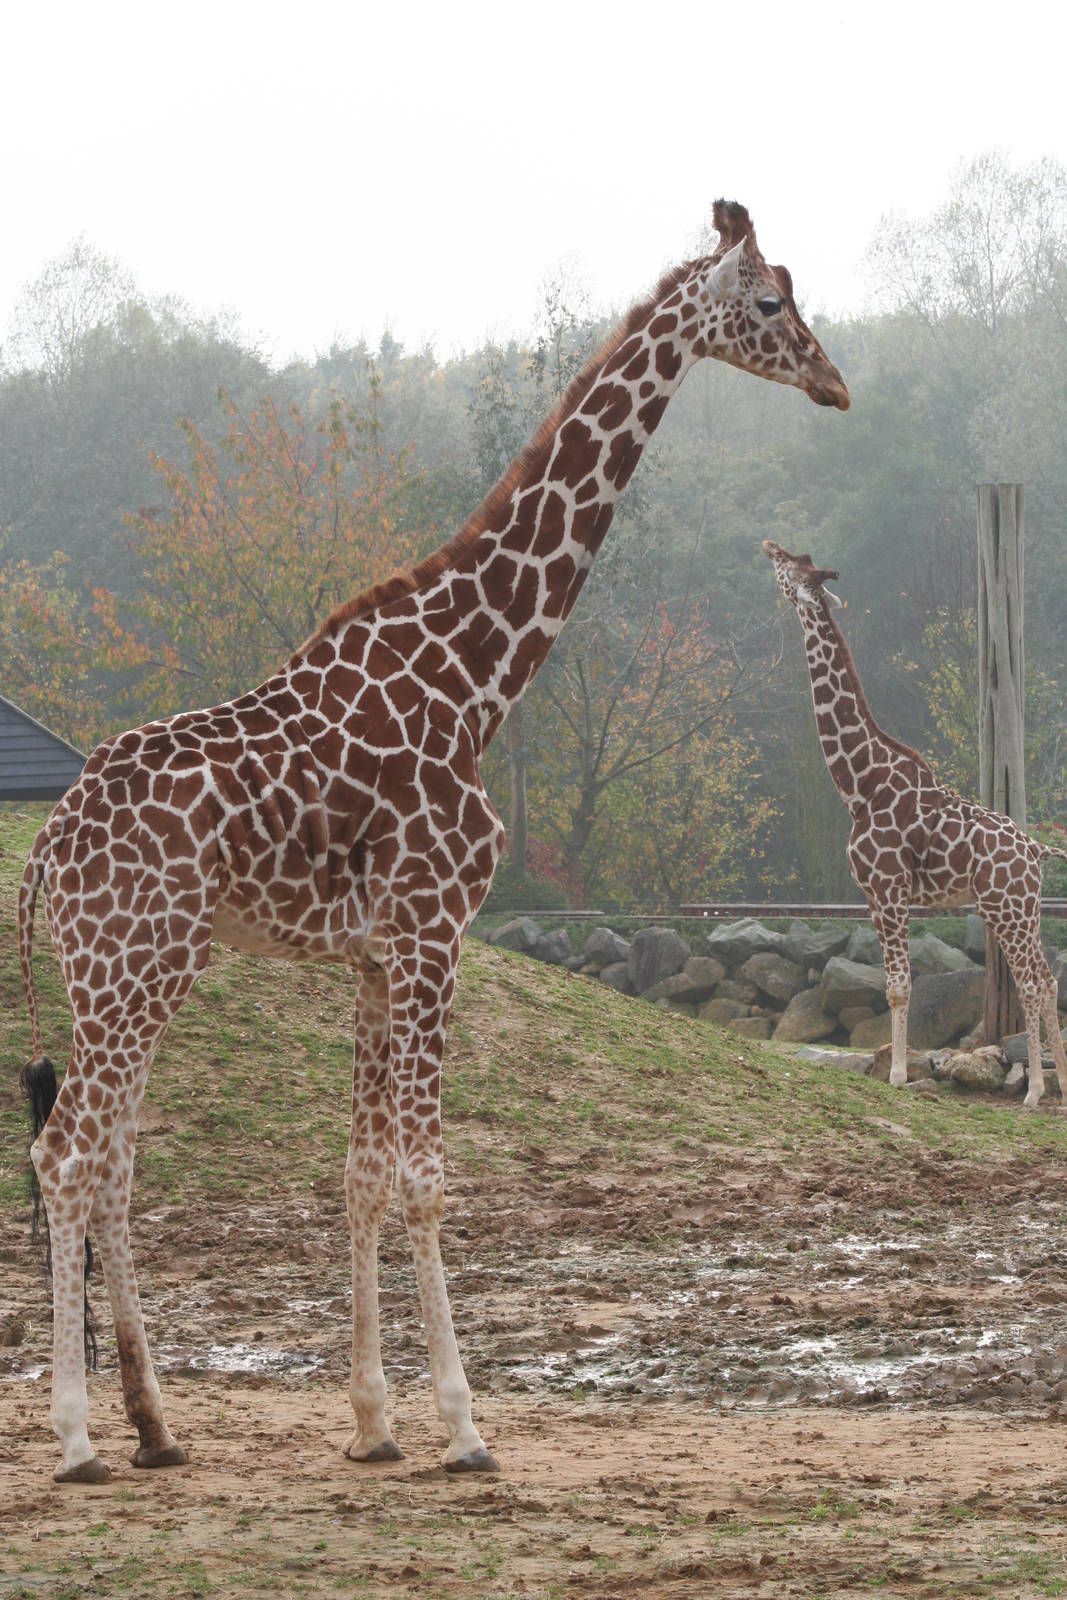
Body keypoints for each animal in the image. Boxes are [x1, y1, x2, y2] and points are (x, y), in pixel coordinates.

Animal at [18, 202, 849, 1486]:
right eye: (766, 302)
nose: (831, 380)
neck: (475, 675)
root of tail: (45, 848)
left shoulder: (371, 959)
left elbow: (361, 1176)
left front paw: (372, 1421)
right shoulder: (431, 934)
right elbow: (422, 1179)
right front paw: (462, 1426)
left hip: (129, 972)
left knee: (106, 1158)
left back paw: (155, 1427)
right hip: (132, 966)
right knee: (67, 1156)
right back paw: (73, 1437)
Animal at [763, 538, 1067, 1102]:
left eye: (792, 565)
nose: (769, 544)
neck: (859, 784)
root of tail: (1037, 850)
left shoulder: (890, 888)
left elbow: (901, 987)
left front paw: (900, 1075)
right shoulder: (872, 895)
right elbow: (893, 985)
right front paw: (898, 1069)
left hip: (1006, 909)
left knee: (1032, 983)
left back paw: (1036, 1090)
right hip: (1023, 910)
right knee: (1048, 978)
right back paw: (1060, 1085)